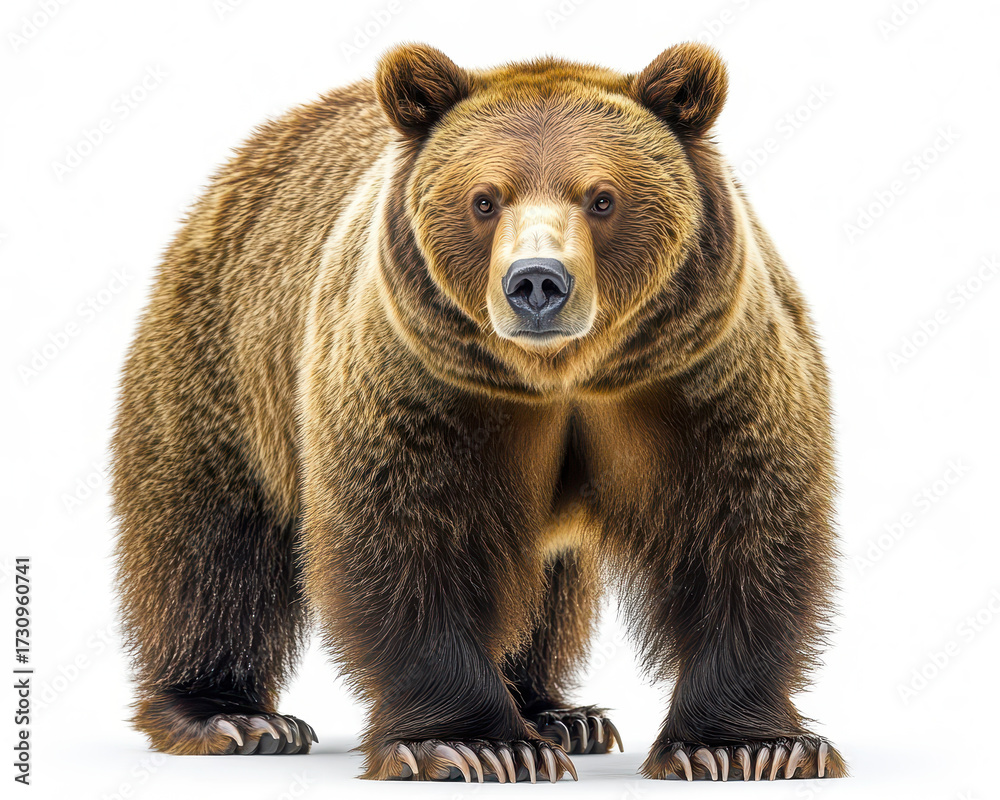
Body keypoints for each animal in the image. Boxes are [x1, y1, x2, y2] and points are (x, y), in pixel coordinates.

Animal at [111, 42, 848, 783]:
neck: (561, 377)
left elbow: (742, 527)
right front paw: (476, 745)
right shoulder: (422, 384)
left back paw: (561, 713)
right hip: (229, 358)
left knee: (546, 591)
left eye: (603, 197)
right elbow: (410, 541)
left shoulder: (697, 373)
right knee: (211, 546)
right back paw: (231, 716)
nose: (538, 282)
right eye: (485, 199)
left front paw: (748, 746)